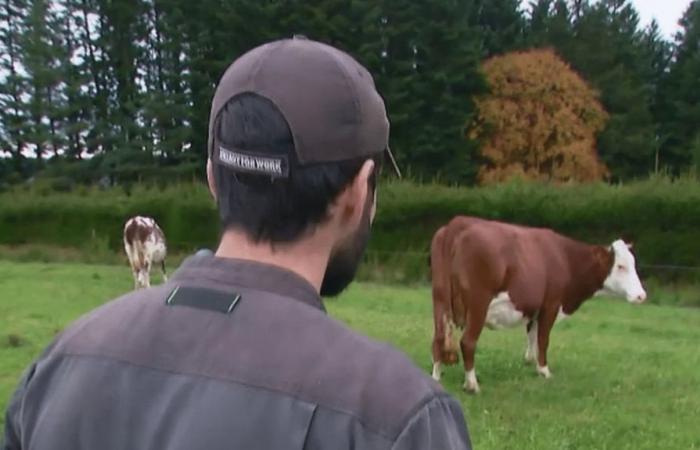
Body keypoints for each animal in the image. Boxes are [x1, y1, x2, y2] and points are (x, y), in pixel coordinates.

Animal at [430, 217, 648, 394]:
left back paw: (435, 378)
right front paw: (544, 370)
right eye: (620, 266)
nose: (641, 295)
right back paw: (472, 384)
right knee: (467, 342)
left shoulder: (535, 306)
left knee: (439, 339)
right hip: (478, 303)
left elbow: (532, 334)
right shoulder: (551, 304)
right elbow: (543, 339)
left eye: (634, 264)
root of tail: (458, 222)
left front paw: (530, 360)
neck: (565, 259)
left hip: (439, 300)